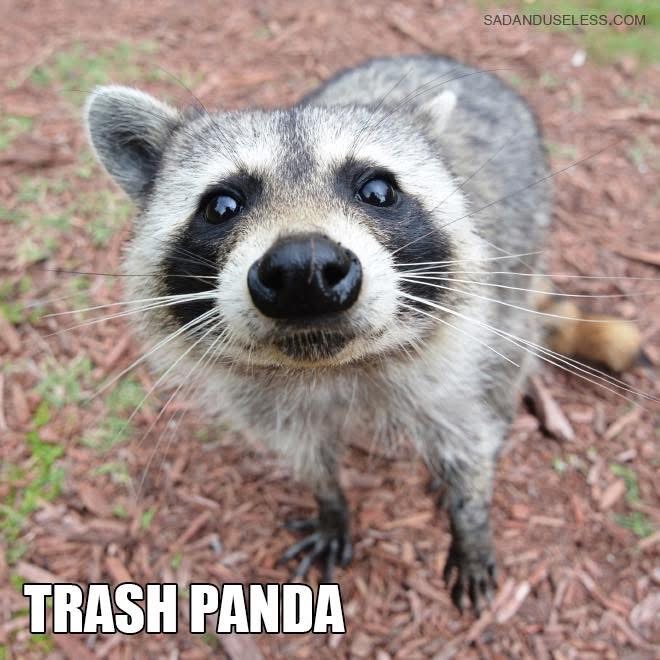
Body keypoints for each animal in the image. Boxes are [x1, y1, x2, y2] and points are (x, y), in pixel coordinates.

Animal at [83, 55, 634, 614]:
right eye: (221, 206)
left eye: (377, 192)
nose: (303, 270)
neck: (331, 366)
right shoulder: (261, 398)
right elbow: (304, 451)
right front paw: (330, 501)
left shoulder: (461, 348)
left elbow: (467, 430)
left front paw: (471, 515)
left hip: (520, 261)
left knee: (505, 366)